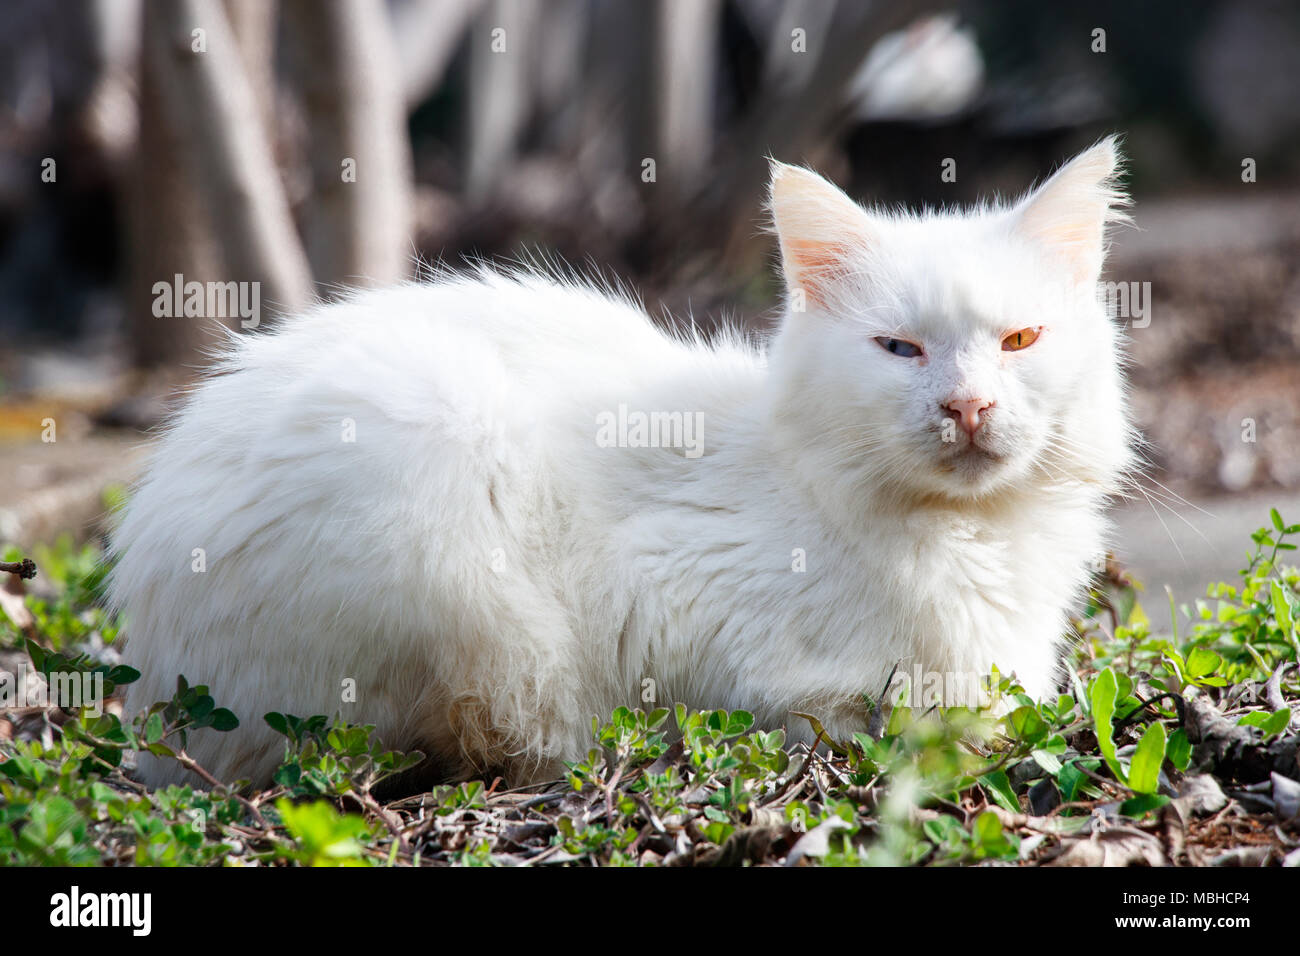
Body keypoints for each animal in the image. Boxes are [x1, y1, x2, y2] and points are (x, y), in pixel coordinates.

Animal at [111, 138, 1133, 790]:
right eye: (900, 349)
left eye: (1020, 340)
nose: (968, 406)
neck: (962, 539)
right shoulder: (677, 619)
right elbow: (827, 712)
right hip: (435, 463)